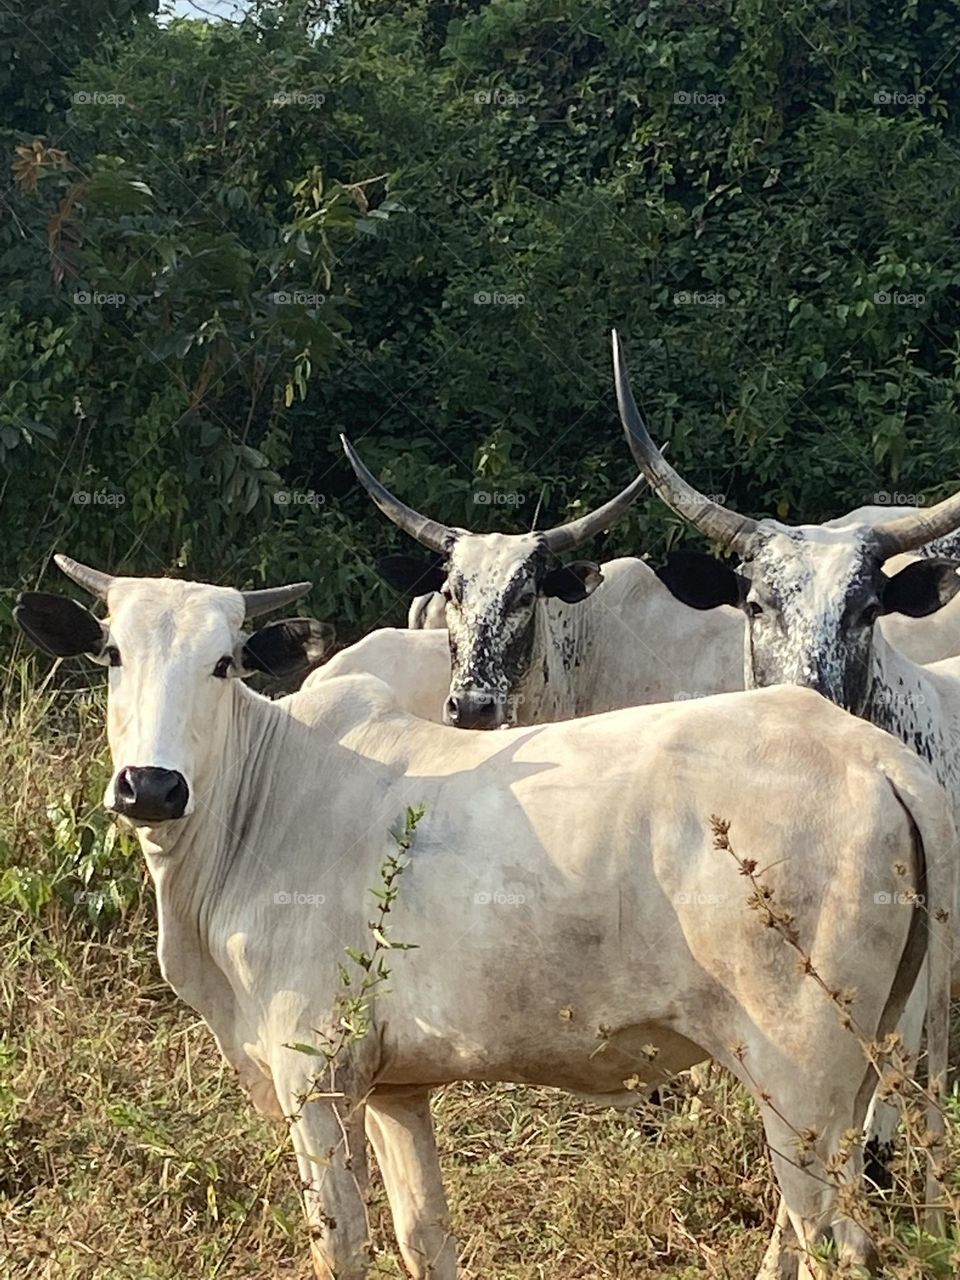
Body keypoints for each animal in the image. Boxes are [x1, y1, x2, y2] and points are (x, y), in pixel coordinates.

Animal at [15, 554, 954, 1280]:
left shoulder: (314, 1079)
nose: (151, 786)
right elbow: (423, 1236)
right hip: (855, 1072)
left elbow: (341, 1246)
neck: (260, 801)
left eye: (224, 664)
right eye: (112, 653)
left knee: (830, 1241)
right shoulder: (394, 1088)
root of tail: (874, 755)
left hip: (798, 1074)